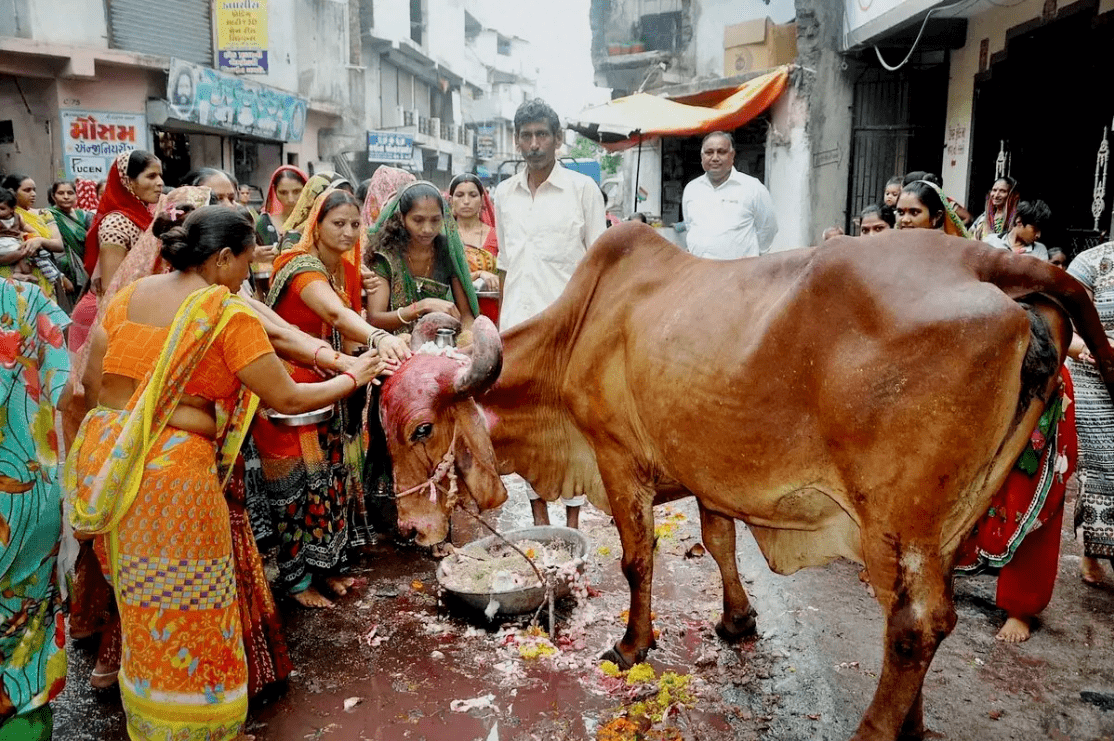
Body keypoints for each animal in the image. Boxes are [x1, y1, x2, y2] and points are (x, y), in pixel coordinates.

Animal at [376, 227, 1114, 739]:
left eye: (420, 428)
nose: (409, 526)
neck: (578, 333)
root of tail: (981, 261)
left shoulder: (619, 459)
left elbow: (638, 560)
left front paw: (631, 643)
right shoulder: (707, 474)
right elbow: (719, 541)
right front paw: (736, 621)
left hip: (898, 518)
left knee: (914, 625)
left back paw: (876, 729)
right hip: (946, 524)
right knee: (927, 621)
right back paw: (910, 721)